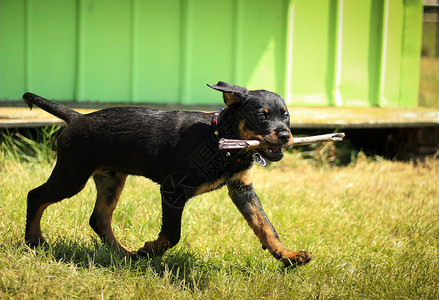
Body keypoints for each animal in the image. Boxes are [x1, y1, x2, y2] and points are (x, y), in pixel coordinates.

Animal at [23, 81, 312, 268]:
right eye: (261, 117)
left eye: (286, 116)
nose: (285, 136)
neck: (220, 140)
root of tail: (76, 117)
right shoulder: (173, 189)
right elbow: (173, 234)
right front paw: (150, 250)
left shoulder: (242, 188)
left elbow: (265, 226)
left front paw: (288, 255)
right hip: (72, 174)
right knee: (35, 196)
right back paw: (33, 241)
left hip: (111, 178)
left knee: (99, 219)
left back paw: (125, 255)